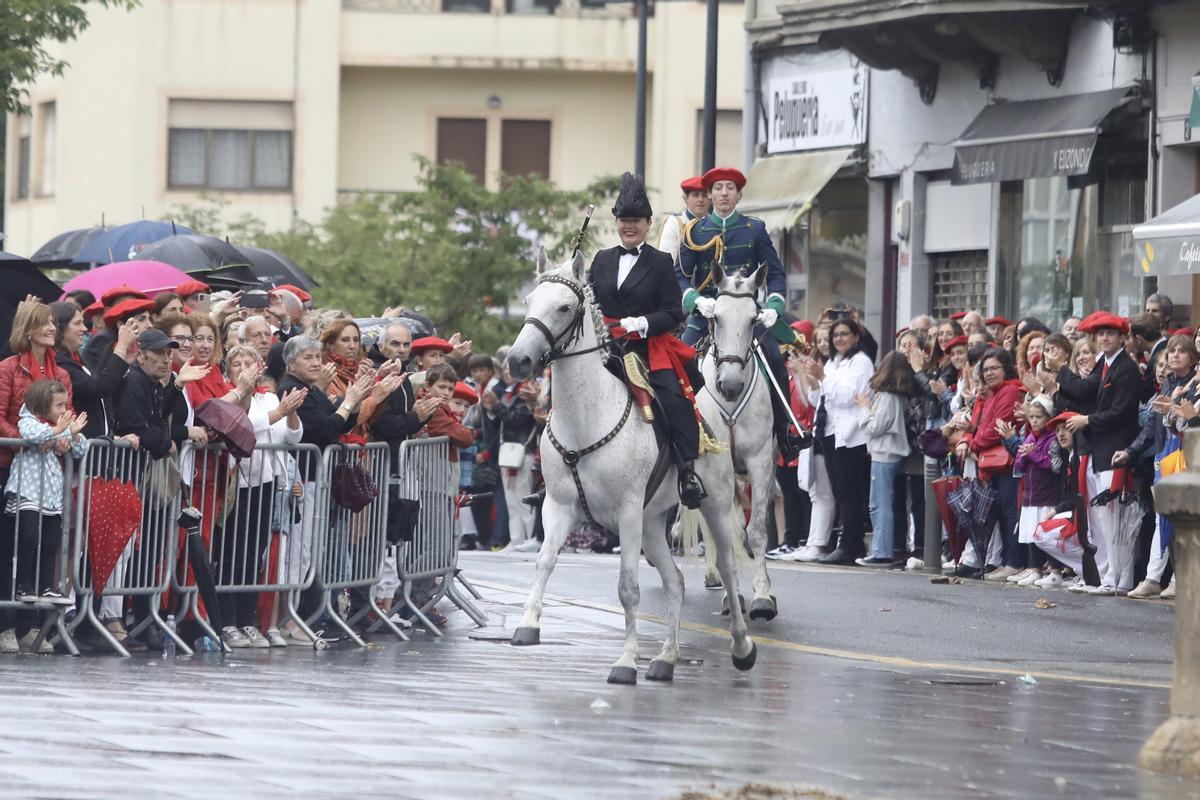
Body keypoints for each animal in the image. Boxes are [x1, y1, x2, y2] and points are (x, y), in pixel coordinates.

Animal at [506, 253, 758, 686]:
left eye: (564, 307)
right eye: (528, 301)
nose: (517, 360)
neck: (586, 416)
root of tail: (710, 408)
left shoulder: (625, 512)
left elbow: (628, 588)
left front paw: (625, 661)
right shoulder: (558, 507)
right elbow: (544, 562)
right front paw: (528, 624)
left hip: (715, 505)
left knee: (727, 567)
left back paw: (742, 647)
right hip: (652, 522)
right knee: (675, 582)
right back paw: (666, 658)